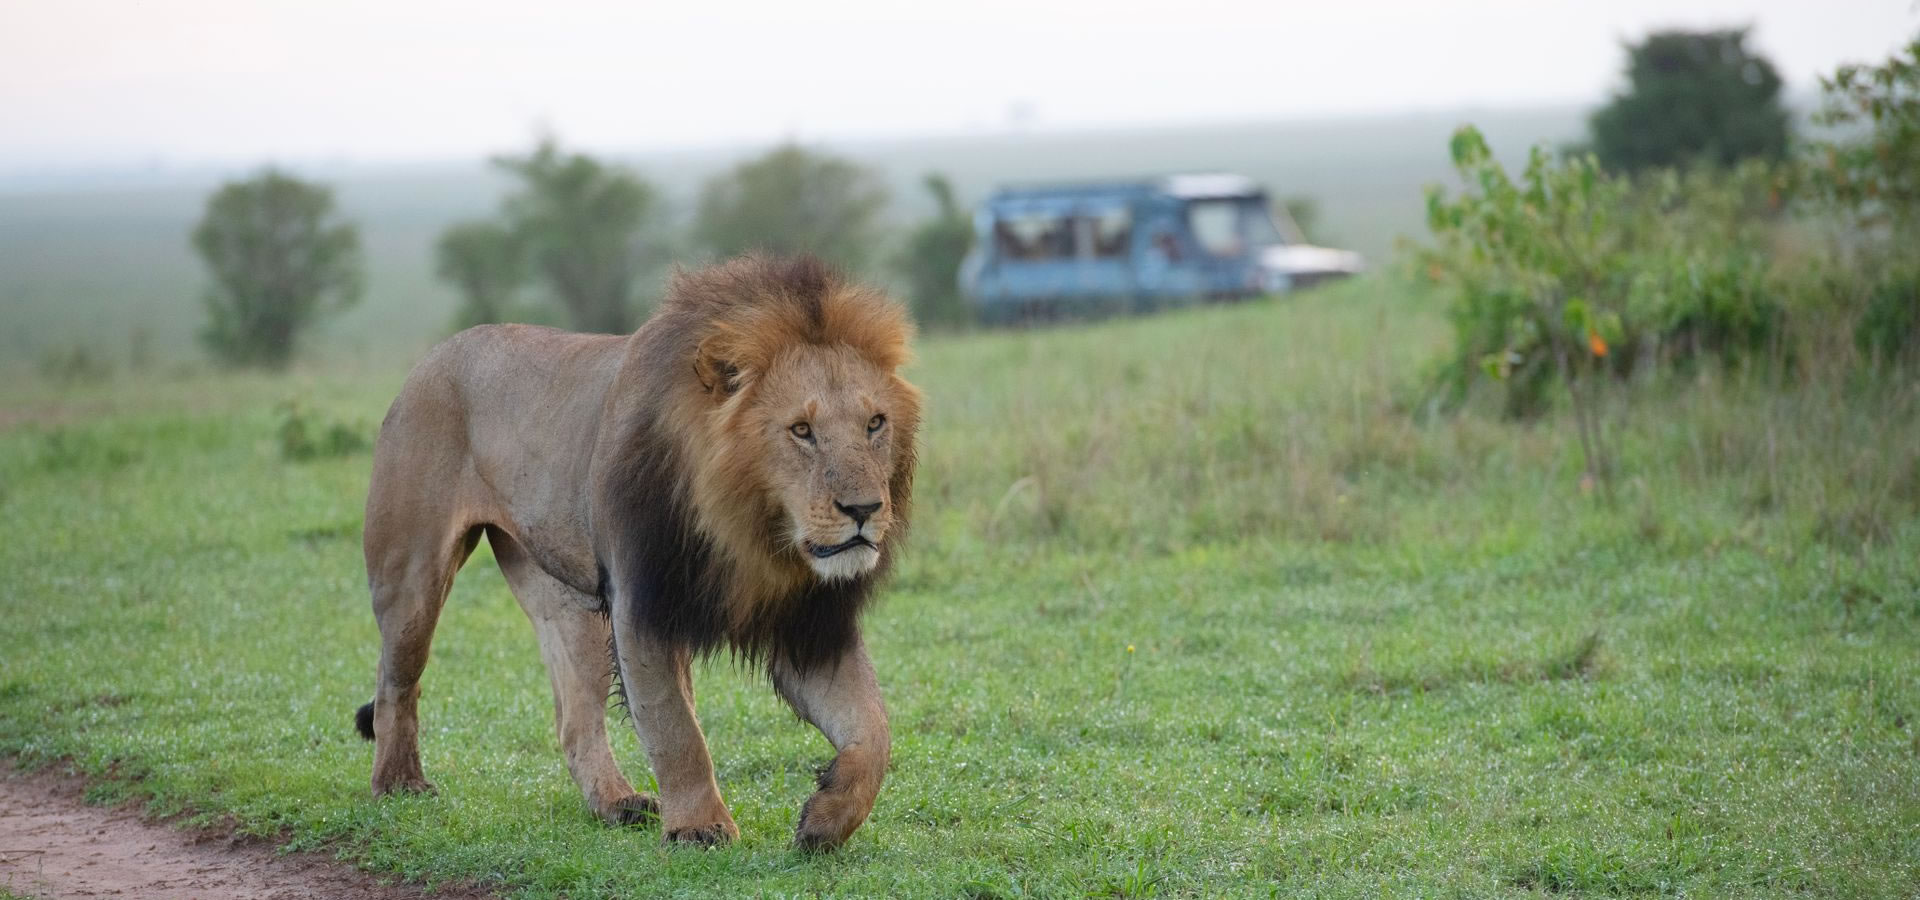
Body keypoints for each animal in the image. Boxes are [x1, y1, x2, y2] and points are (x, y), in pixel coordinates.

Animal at [350, 254, 920, 850]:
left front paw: (826, 818)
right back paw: (400, 784)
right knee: (395, 685)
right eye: (802, 430)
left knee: (575, 722)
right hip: (412, 580)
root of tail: (431, 357)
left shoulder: (810, 624)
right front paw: (700, 829)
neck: (752, 534)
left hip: (568, 602)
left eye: (875, 423)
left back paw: (618, 804)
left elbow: (875, 730)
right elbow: (675, 729)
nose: (864, 509)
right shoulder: (640, 605)